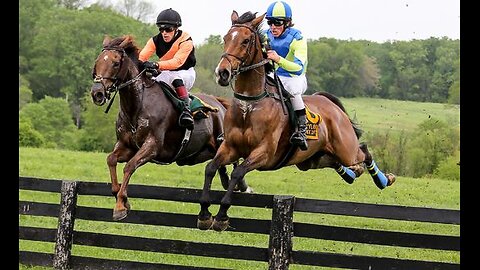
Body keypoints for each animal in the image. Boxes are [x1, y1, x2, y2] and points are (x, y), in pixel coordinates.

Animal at [91, 34, 253, 220]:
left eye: (116, 63)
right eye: (97, 62)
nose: (97, 93)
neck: (137, 106)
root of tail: (219, 103)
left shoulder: (152, 146)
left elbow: (129, 166)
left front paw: (120, 206)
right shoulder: (127, 146)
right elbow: (111, 159)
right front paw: (122, 198)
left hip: (224, 142)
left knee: (235, 161)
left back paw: (244, 186)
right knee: (222, 165)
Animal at [197, 11, 396, 231]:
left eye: (245, 41)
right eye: (225, 38)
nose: (222, 73)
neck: (250, 105)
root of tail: (330, 104)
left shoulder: (263, 153)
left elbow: (238, 172)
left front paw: (222, 215)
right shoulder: (230, 147)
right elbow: (210, 168)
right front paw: (204, 213)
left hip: (346, 150)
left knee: (364, 151)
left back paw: (384, 179)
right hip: (312, 160)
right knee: (340, 164)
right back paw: (355, 173)